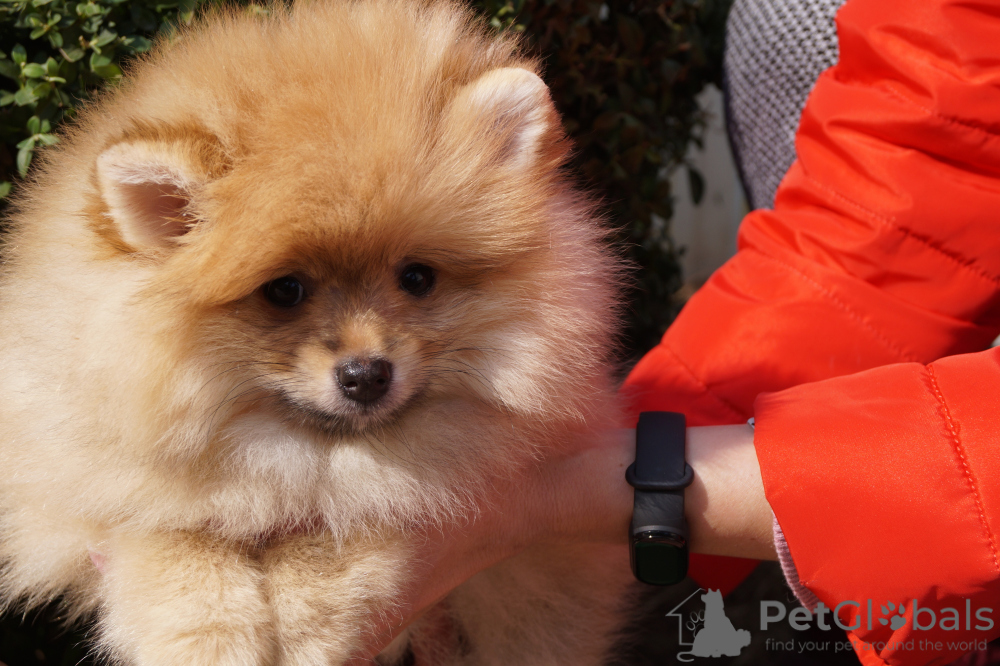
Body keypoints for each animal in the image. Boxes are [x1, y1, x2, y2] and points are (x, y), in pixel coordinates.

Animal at [0, 1, 631, 663]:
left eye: (417, 277)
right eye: (284, 289)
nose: (367, 375)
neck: (281, 454)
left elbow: (343, 531)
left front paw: (305, 624)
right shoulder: (87, 494)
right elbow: (169, 540)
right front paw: (211, 637)